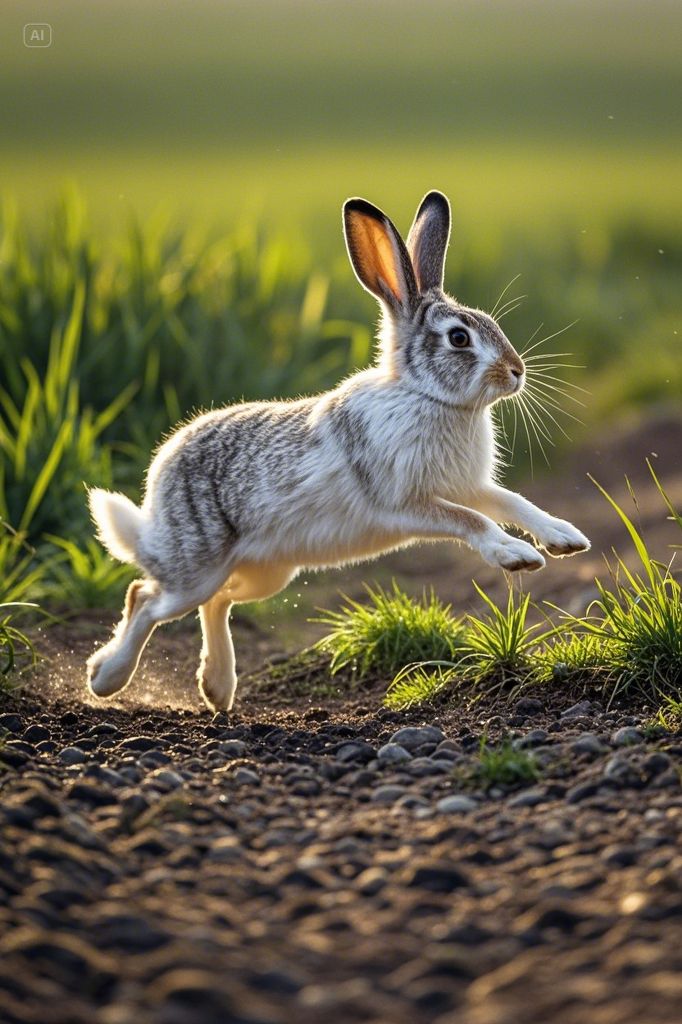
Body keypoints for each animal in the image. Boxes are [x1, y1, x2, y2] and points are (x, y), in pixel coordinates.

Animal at [86, 190, 590, 712]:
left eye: (490, 323)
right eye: (458, 338)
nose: (517, 371)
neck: (426, 396)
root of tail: (158, 478)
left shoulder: (463, 485)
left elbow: (511, 502)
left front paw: (565, 539)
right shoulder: (403, 502)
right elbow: (472, 521)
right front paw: (517, 556)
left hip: (268, 572)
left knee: (216, 601)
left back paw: (217, 686)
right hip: (196, 566)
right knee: (145, 596)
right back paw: (107, 678)